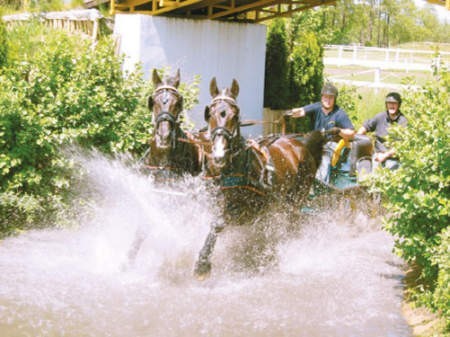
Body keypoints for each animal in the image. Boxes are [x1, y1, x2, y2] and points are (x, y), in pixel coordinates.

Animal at [193, 77, 326, 276]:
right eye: (209, 114)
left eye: (235, 115)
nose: (219, 154)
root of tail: (302, 146)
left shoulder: (249, 211)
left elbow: (218, 223)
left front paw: (202, 263)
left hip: (295, 200)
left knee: (291, 224)